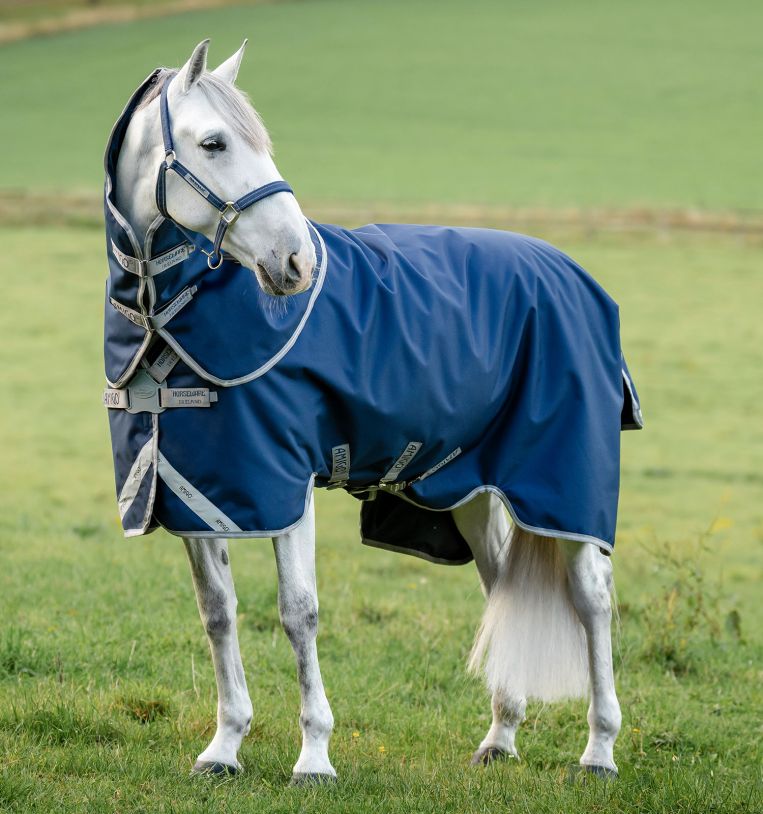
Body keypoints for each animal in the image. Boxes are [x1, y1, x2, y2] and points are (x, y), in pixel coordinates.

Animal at [103, 39, 640, 784]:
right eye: (212, 143)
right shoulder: (197, 493)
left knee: (592, 599)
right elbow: (217, 613)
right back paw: (500, 737)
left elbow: (298, 612)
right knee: (501, 588)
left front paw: (314, 756)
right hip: (472, 490)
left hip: (561, 485)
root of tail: (569, 272)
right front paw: (225, 746)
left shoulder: (286, 484)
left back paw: (599, 750)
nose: (295, 262)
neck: (169, 322)